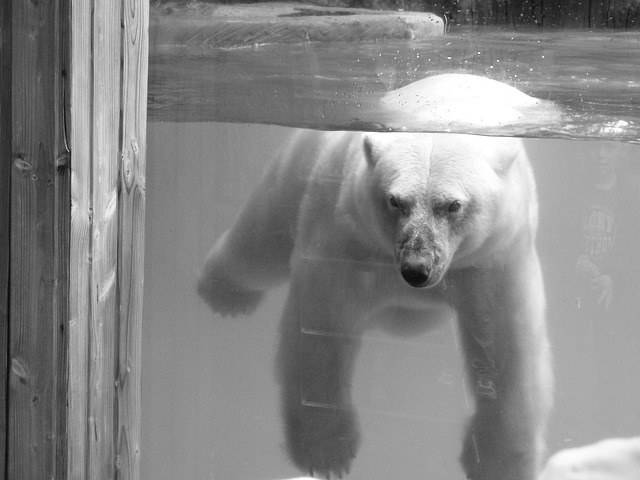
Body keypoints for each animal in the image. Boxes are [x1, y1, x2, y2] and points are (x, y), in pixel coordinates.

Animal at [199, 128, 552, 480]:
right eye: (395, 200)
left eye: (453, 205)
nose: (416, 269)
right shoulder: (348, 243)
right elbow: (323, 327)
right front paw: (327, 450)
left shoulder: (493, 259)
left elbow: (506, 347)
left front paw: (499, 463)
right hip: (297, 171)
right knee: (261, 246)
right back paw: (225, 293)